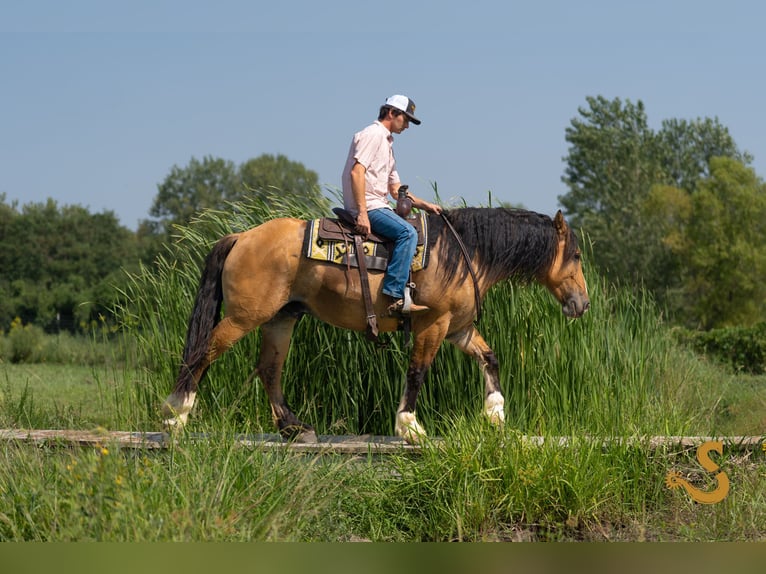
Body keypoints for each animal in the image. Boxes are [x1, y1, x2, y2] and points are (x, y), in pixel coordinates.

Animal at [162, 207, 590, 444]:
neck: (464, 252)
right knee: (203, 354)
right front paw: (409, 427)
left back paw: (294, 428)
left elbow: (490, 358)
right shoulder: (433, 324)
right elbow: (417, 371)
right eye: (577, 254)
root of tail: (241, 237)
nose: (583, 304)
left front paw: (495, 415)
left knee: (269, 370)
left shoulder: (458, 328)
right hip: (244, 317)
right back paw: (175, 416)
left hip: (281, 318)